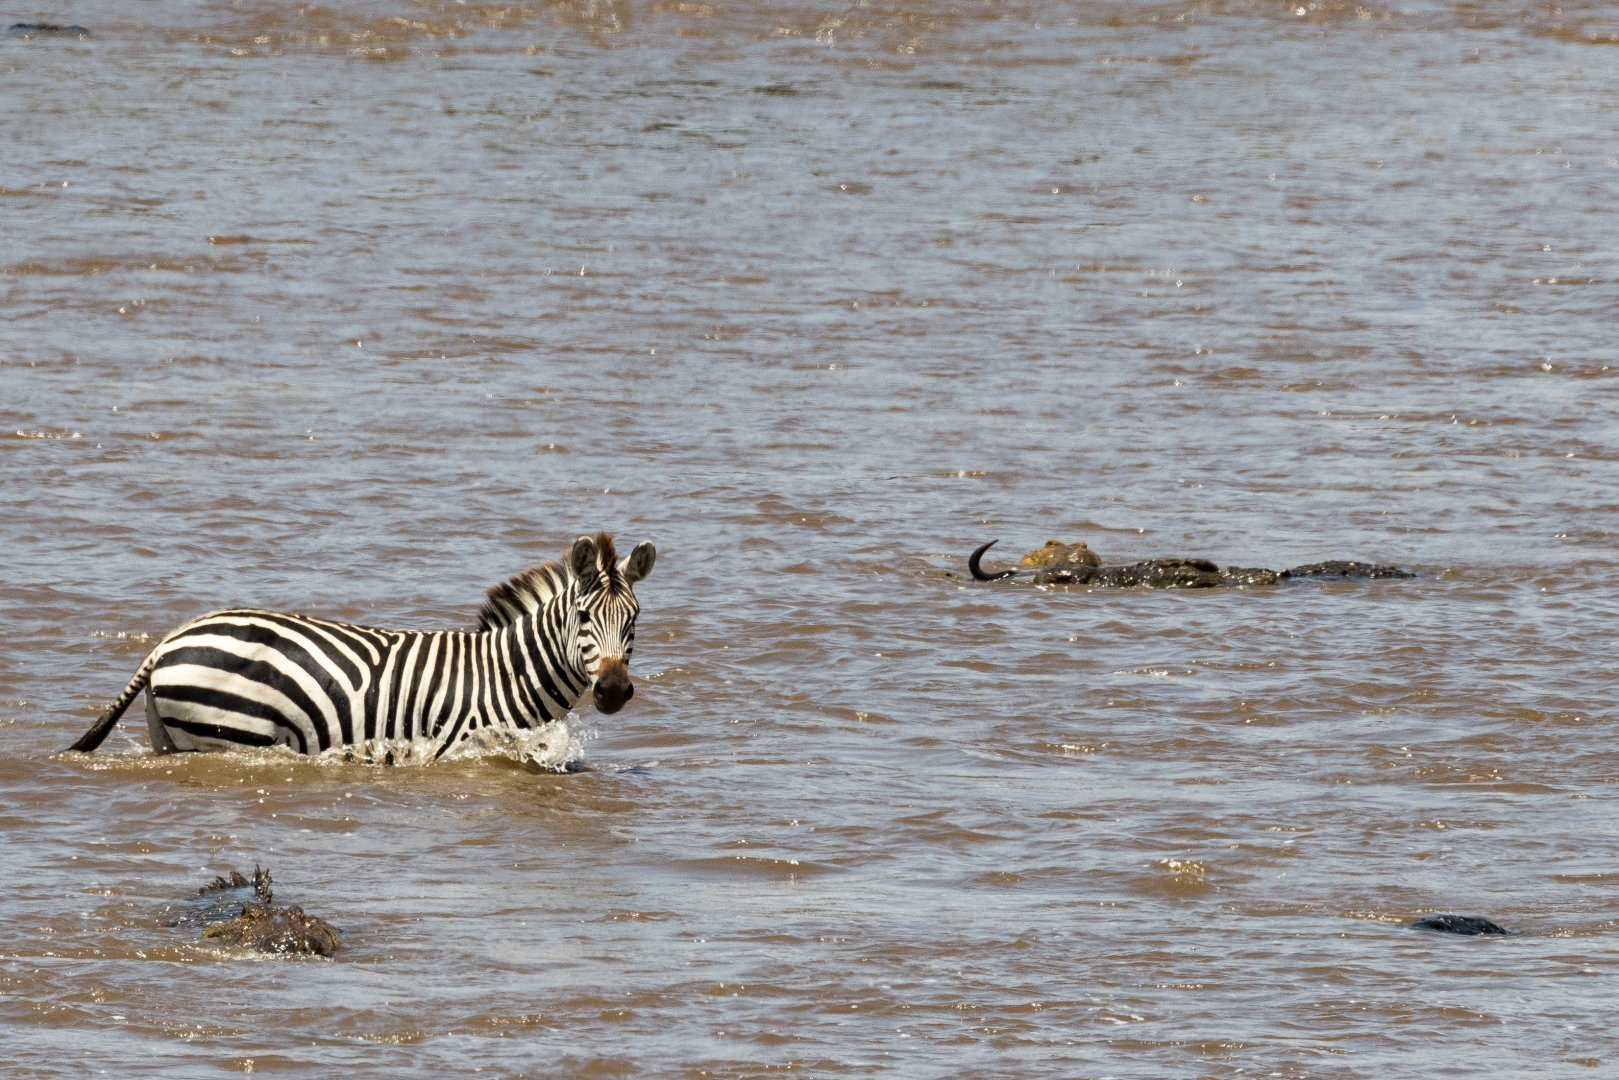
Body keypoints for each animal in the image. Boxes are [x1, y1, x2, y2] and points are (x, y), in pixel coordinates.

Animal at [66, 531, 654, 761]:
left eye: (634, 618)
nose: (613, 690)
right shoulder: (462, 749)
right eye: (583, 617)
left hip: (171, 737)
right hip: (228, 736)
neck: (504, 673)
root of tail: (168, 640)